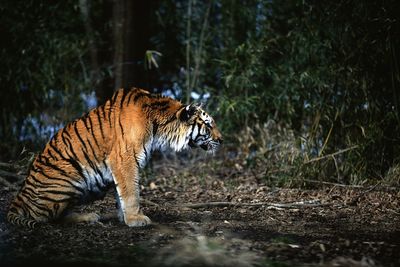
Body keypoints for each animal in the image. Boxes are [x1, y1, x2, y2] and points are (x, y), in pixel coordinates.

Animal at [7, 88, 223, 228]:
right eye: (208, 125)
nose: (222, 139)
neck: (159, 125)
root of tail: (18, 198)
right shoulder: (124, 158)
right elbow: (131, 191)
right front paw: (136, 219)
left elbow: (123, 193)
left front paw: (125, 217)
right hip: (68, 176)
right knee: (48, 218)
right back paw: (88, 217)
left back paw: (88, 216)